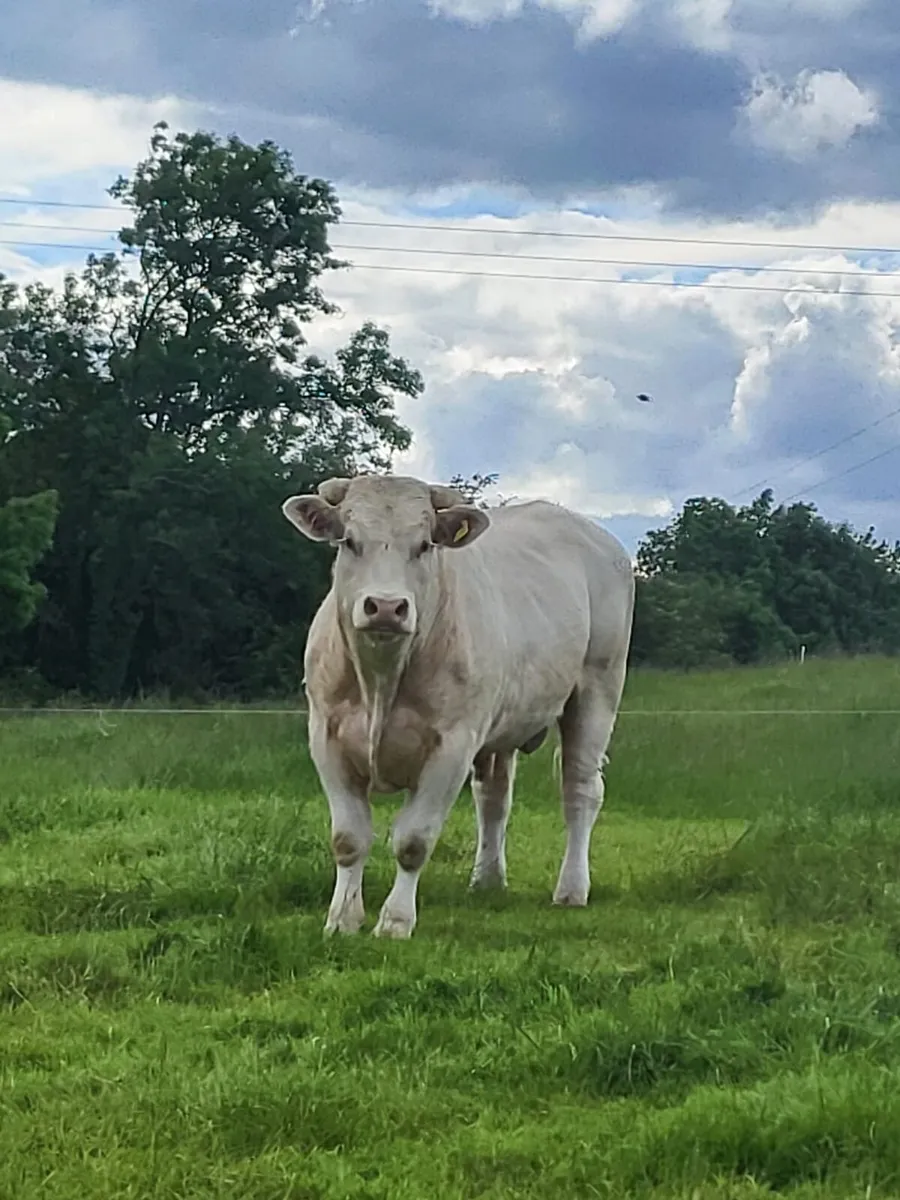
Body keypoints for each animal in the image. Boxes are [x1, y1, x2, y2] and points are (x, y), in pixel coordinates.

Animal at [282, 474, 634, 939]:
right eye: (350, 541)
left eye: (424, 545)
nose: (387, 607)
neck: (381, 682)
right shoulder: (327, 737)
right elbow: (348, 839)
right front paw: (342, 919)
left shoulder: (452, 745)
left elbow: (413, 840)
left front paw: (395, 921)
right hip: (503, 725)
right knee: (494, 798)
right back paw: (487, 880)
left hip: (597, 689)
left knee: (580, 789)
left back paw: (572, 888)